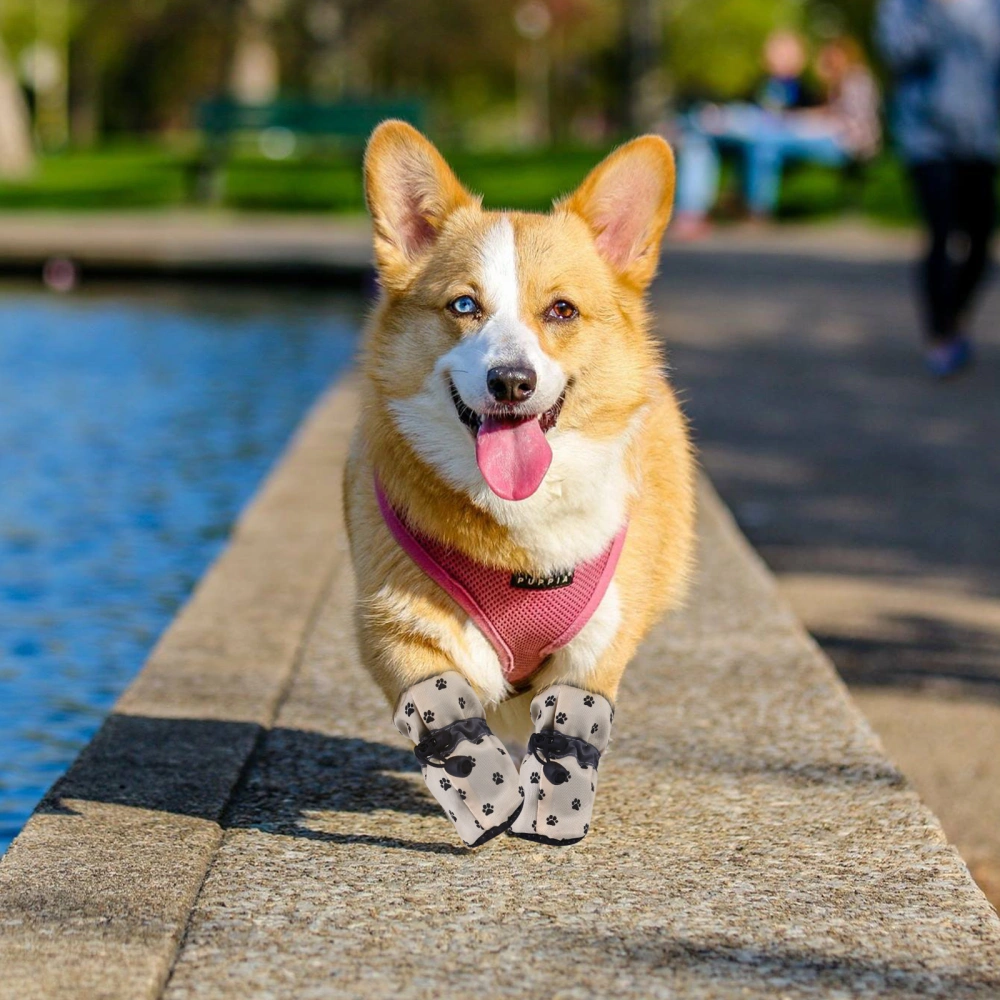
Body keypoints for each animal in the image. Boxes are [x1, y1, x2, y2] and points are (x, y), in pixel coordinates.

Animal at [344, 121, 696, 848]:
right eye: (464, 305)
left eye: (561, 310)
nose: (511, 382)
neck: (520, 529)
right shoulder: (391, 626)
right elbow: (442, 708)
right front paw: (483, 797)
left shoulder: (598, 645)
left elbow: (572, 719)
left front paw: (551, 808)